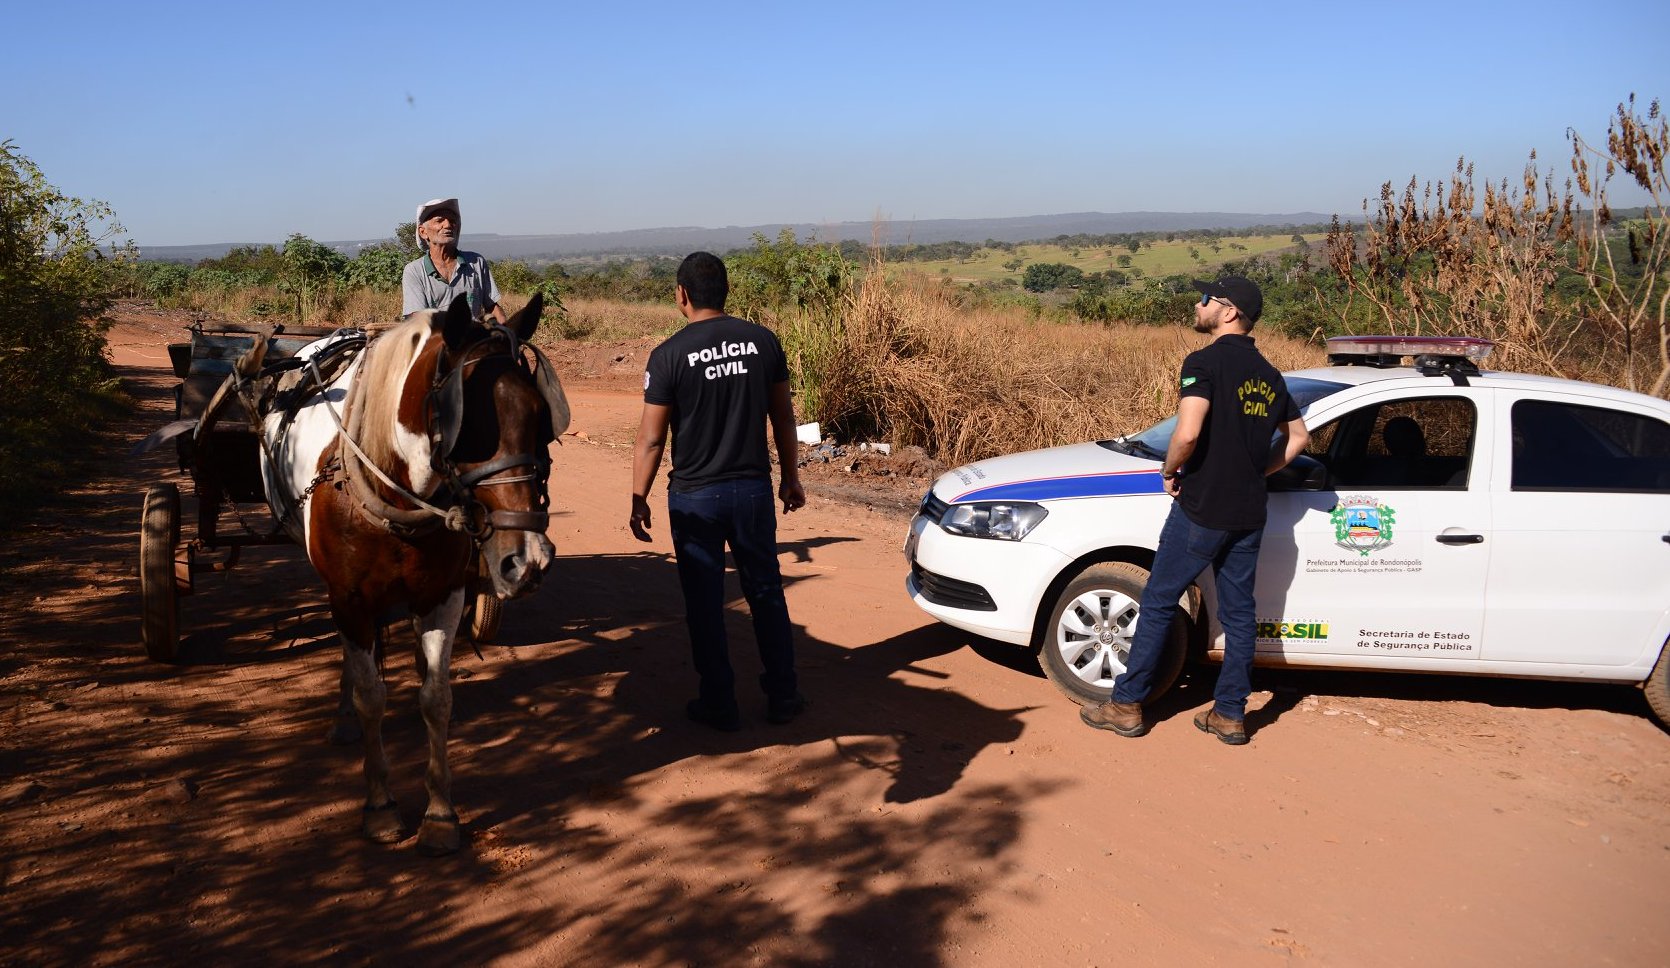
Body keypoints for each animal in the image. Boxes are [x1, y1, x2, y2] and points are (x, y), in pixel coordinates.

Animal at [260, 297, 567, 854]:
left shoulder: (441, 595)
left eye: (540, 417)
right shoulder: (349, 599)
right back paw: (344, 716)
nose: (528, 560)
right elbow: (370, 699)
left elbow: (435, 698)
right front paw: (380, 805)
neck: (393, 491)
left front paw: (441, 813)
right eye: (472, 423)